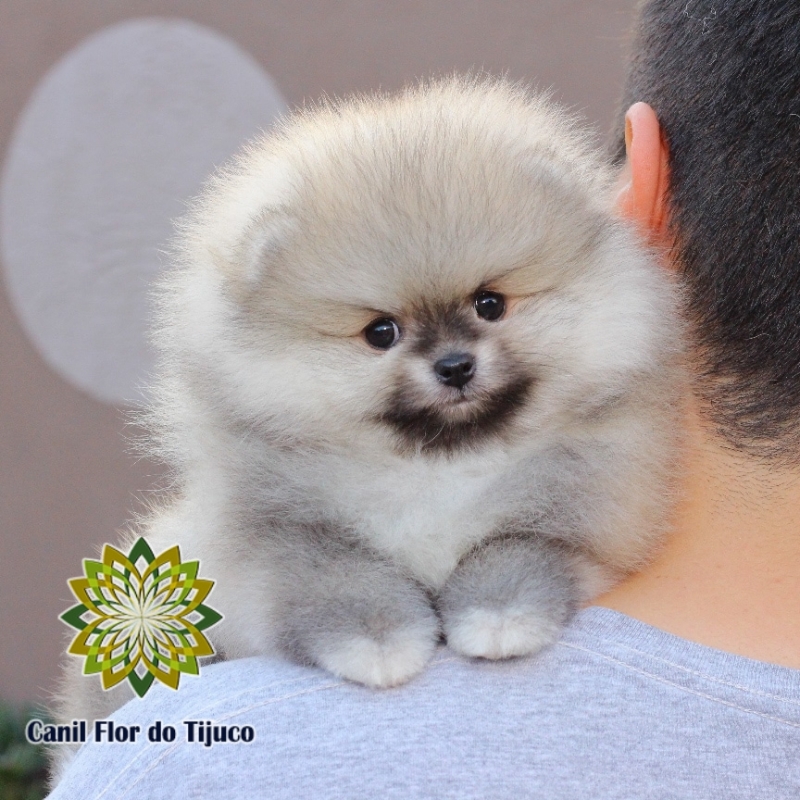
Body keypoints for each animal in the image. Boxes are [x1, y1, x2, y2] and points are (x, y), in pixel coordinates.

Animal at [53, 78, 684, 772]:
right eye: (381, 332)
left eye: (489, 304)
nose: (455, 365)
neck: (436, 469)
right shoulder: (278, 539)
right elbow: (345, 578)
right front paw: (380, 642)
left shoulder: (593, 508)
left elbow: (514, 545)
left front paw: (497, 615)